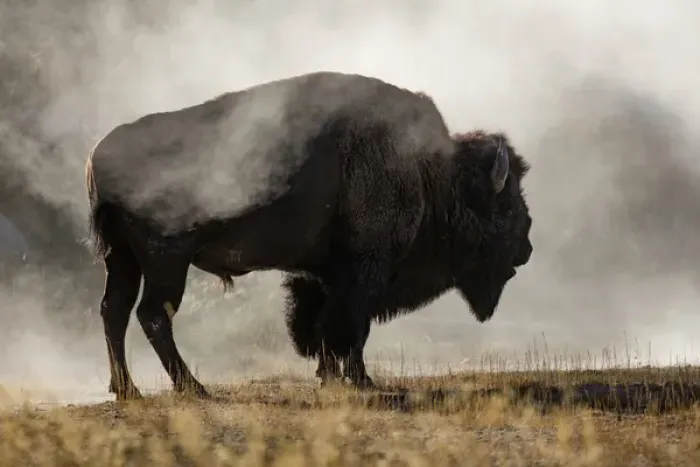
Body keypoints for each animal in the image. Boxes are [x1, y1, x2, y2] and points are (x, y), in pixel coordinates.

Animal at [85, 71, 533, 400]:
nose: (526, 248)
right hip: (165, 260)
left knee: (114, 311)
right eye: (507, 204)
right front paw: (360, 379)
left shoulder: (324, 276)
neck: (429, 171)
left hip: (122, 258)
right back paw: (194, 388)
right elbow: (351, 327)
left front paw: (329, 375)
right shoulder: (365, 271)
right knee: (152, 314)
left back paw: (128, 390)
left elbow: (322, 326)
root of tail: (98, 154)